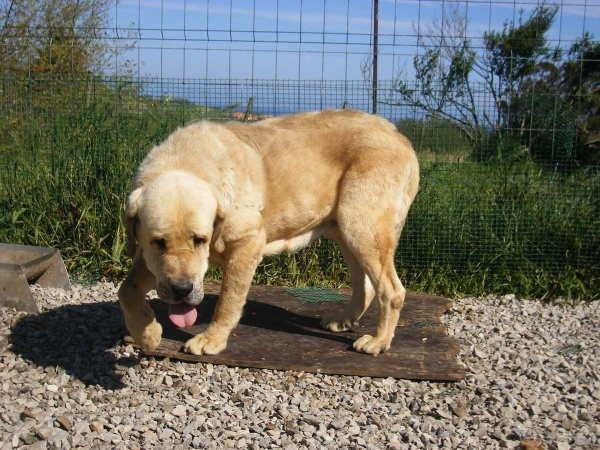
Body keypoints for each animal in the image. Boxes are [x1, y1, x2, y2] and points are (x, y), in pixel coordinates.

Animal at [117, 109, 418, 356]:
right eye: (159, 242)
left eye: (199, 240)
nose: (182, 290)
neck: (185, 163)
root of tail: (399, 136)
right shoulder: (147, 257)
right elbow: (126, 290)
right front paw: (146, 334)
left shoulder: (248, 242)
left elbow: (228, 298)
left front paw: (211, 339)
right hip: (346, 232)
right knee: (365, 285)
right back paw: (344, 320)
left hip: (362, 227)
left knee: (391, 291)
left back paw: (378, 341)